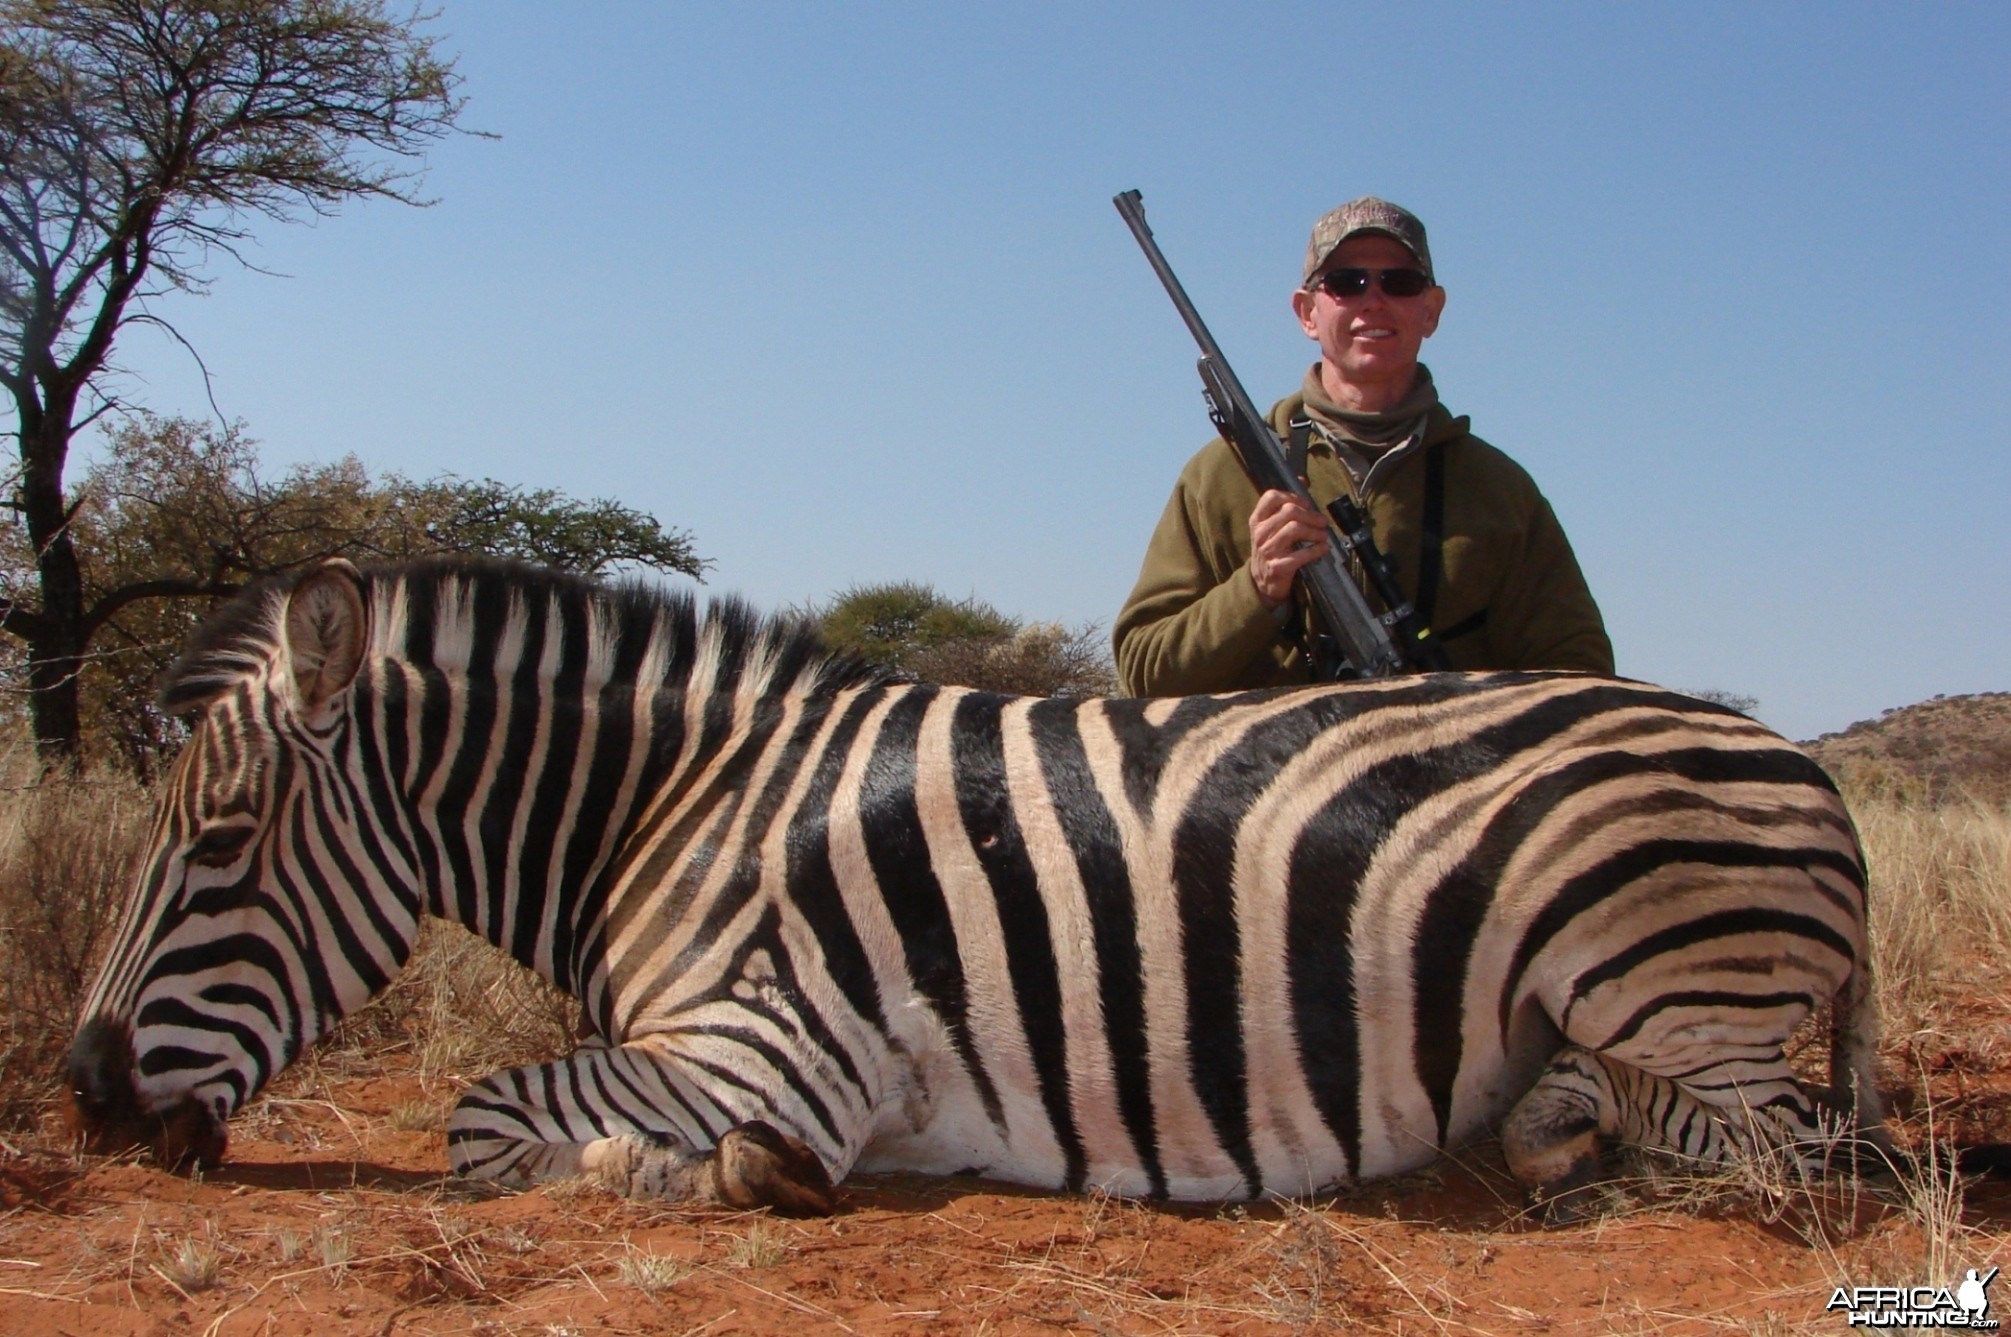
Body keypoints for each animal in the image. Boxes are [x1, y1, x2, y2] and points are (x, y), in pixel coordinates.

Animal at [62, 558, 1882, 1214]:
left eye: (217, 844)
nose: (80, 1097)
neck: (684, 811)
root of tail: (1801, 761)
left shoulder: (771, 1043)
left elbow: (485, 1121)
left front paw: (704, 1174)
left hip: (1658, 971)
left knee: (1777, 1155)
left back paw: (1585, 1164)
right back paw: (1554, 1129)